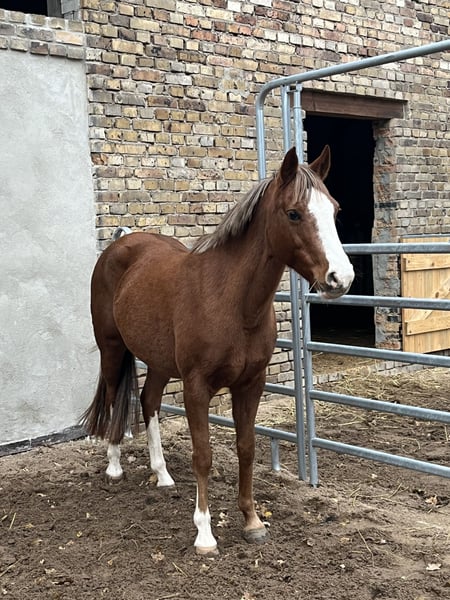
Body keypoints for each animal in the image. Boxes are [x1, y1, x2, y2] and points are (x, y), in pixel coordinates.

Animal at [81, 146, 354, 555]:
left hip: (160, 362)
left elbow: (246, 448)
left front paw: (253, 521)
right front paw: (205, 534)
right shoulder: (196, 388)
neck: (231, 302)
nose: (341, 278)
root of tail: (118, 245)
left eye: (334, 211)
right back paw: (114, 466)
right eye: (293, 213)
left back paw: (162, 474)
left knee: (149, 401)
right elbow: (204, 455)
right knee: (115, 398)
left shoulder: (251, 385)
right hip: (112, 349)